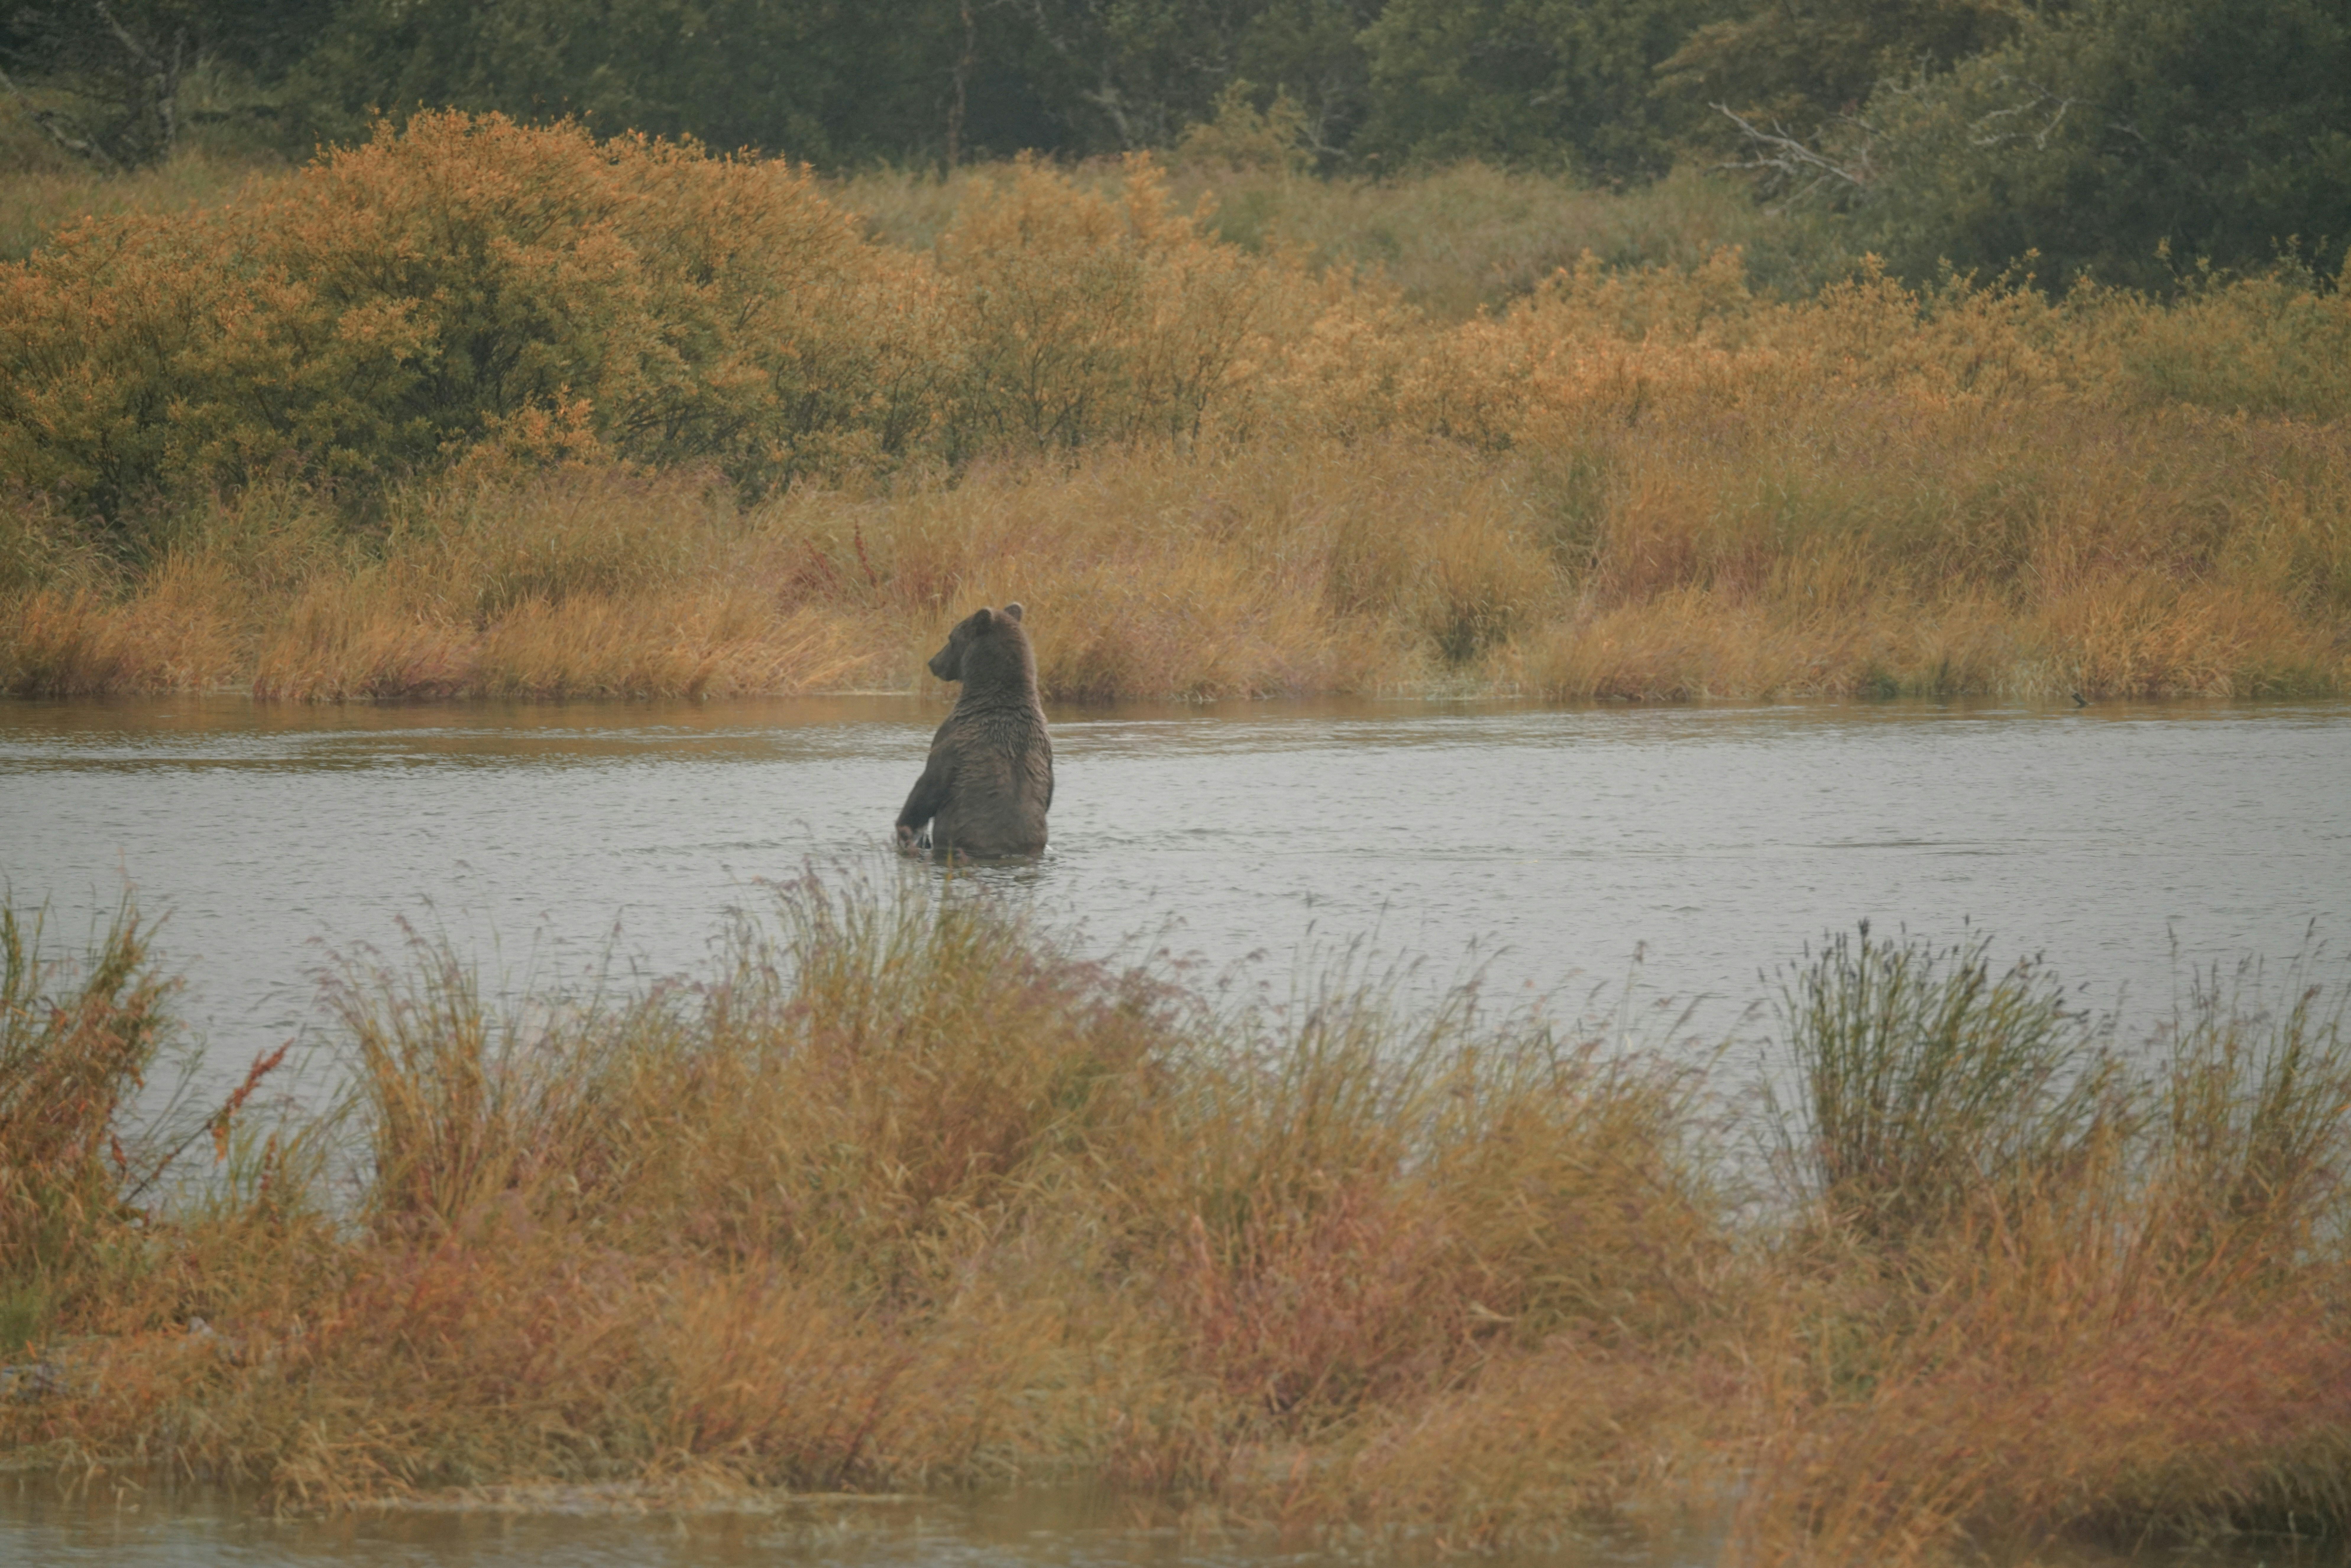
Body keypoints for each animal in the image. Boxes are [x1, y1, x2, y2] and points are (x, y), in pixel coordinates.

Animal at [896, 602, 1054, 859]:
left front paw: (907, 830)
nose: (933, 662)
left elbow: (928, 786)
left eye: (951, 637)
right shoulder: (1046, 751)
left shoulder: (953, 738)